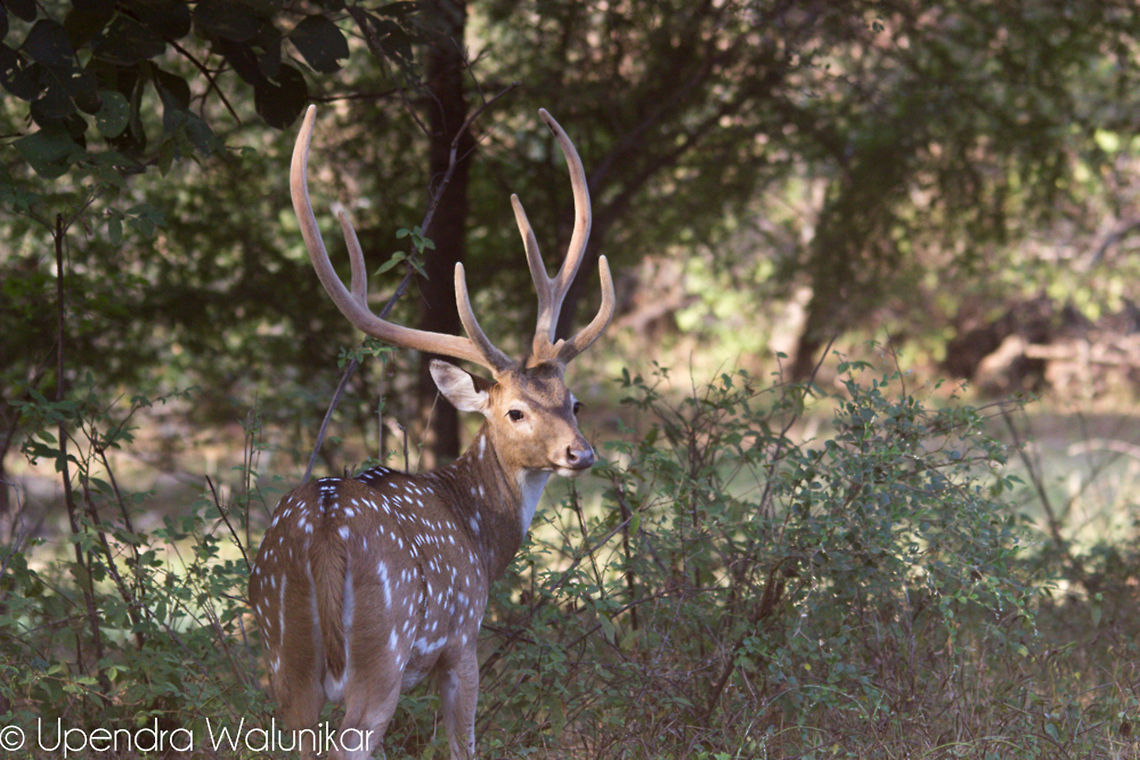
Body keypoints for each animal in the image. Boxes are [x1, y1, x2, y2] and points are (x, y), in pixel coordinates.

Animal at [248, 104, 614, 760]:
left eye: (573, 401)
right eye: (515, 411)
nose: (581, 452)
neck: (480, 537)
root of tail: (323, 534)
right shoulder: (463, 640)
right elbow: (463, 742)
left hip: (282, 652)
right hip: (383, 650)